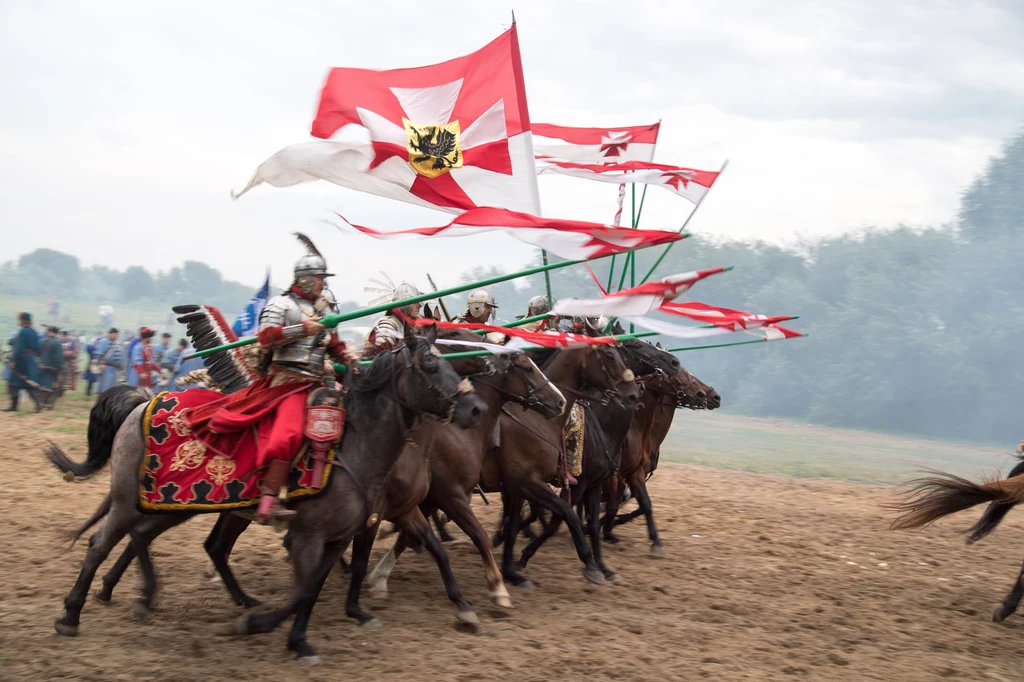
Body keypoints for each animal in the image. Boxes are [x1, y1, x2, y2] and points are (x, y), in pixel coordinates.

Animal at [49, 327, 489, 659]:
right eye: (431, 363)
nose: (476, 409)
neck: (354, 448)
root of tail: (142, 402)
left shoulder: (339, 537)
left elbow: (310, 590)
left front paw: (298, 640)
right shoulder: (308, 537)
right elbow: (302, 590)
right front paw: (258, 626)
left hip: (175, 502)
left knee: (142, 537)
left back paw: (150, 598)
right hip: (130, 500)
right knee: (100, 543)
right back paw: (71, 615)